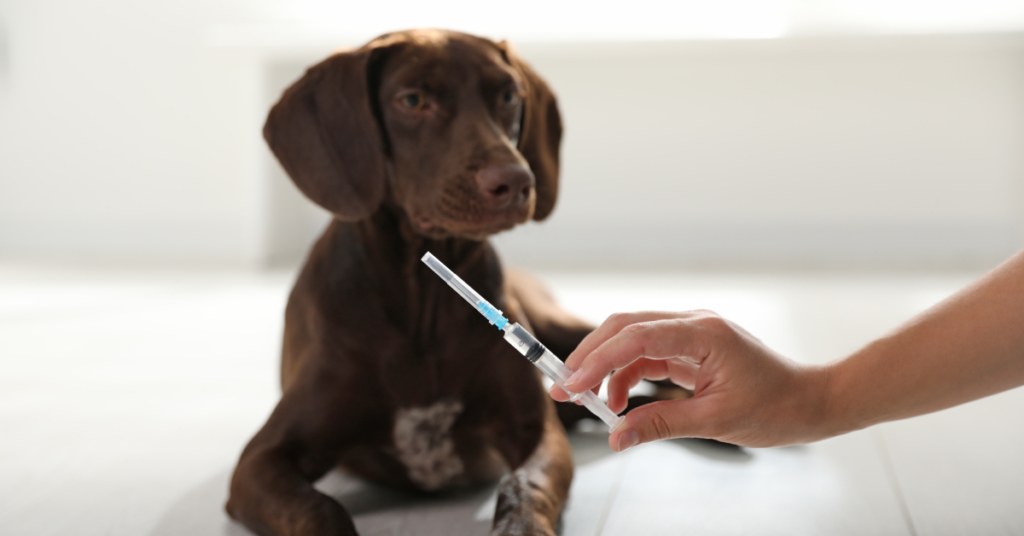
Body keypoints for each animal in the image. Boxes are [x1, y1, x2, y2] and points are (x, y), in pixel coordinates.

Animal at [223, 30, 593, 536]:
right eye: (413, 100)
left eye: (508, 96)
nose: (517, 181)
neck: (425, 302)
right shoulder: (261, 458)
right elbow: (317, 507)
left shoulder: (537, 431)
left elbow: (524, 487)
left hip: (567, 335)